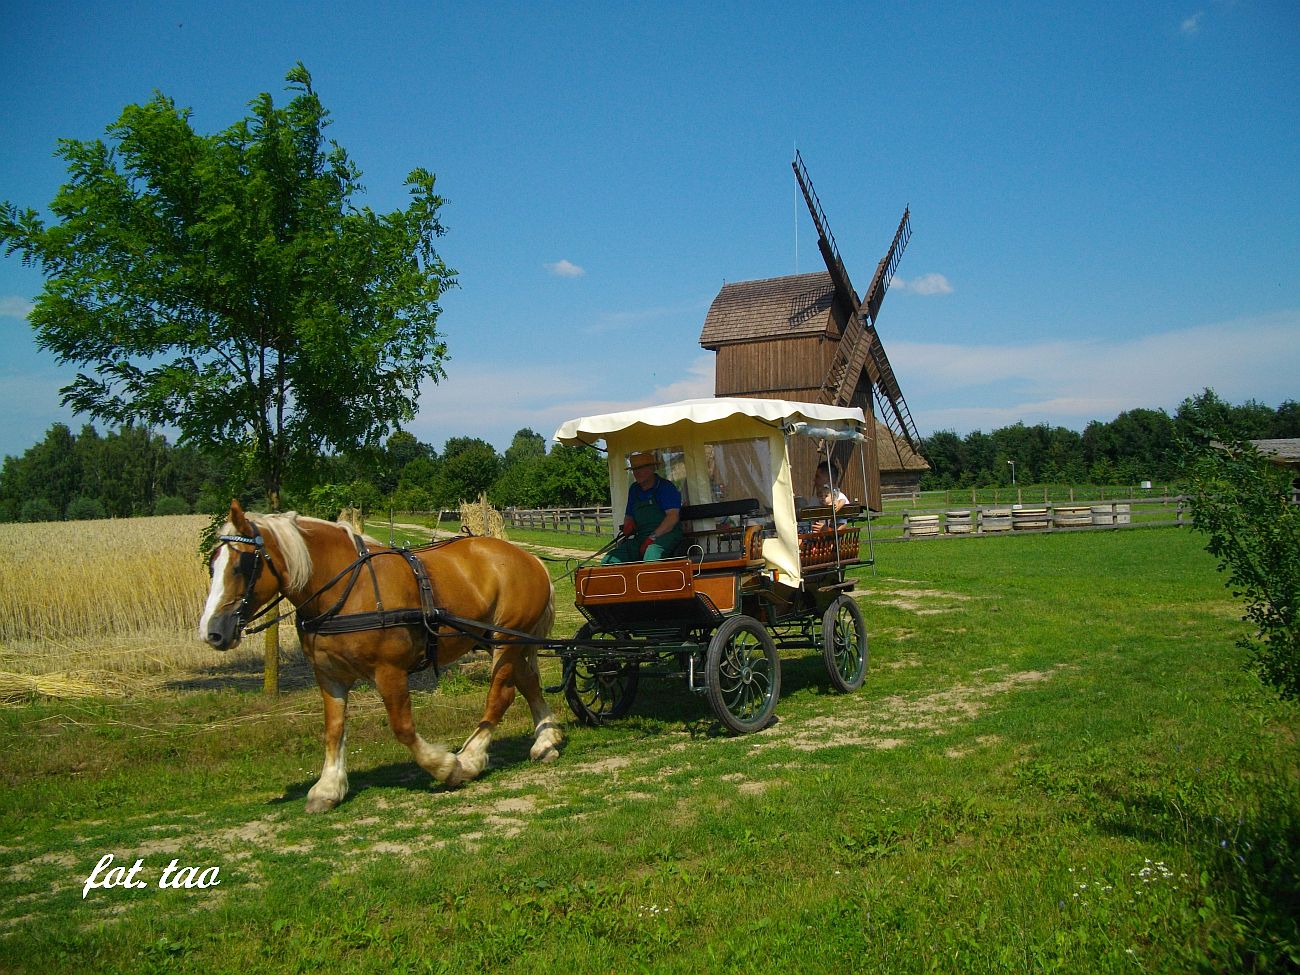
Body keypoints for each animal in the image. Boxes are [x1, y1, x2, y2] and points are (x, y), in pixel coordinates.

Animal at [198, 499, 564, 811]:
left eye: (242, 565)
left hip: (507, 640)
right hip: (495, 640)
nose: (211, 631)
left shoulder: (389, 671)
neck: (346, 589)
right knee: (528, 682)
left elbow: (402, 727)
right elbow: (334, 729)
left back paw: (472, 758)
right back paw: (546, 740)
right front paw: (328, 788)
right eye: (212, 565)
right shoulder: (328, 675)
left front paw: (446, 767)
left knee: (501, 695)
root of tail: (528, 558)